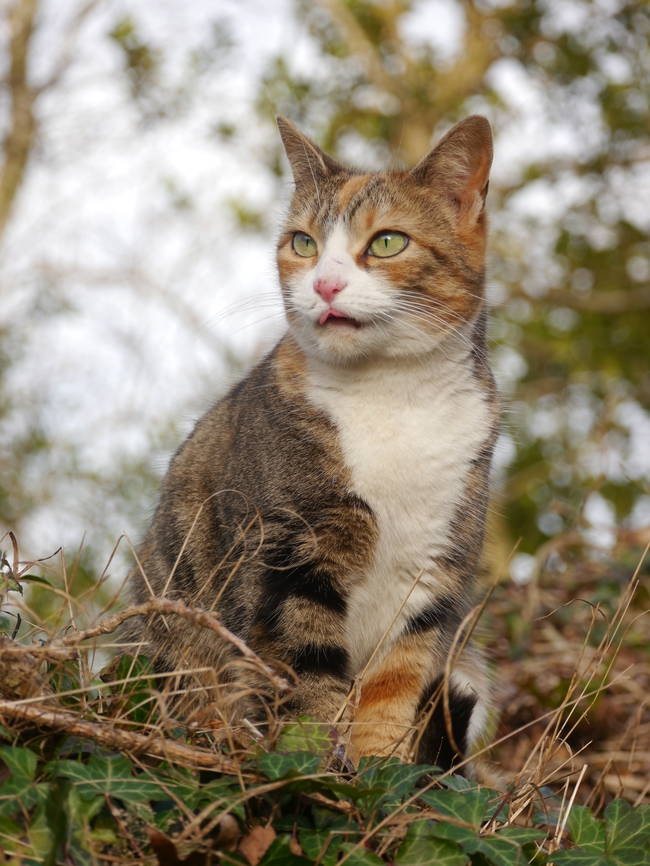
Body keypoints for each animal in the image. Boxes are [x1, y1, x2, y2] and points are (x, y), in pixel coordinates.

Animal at [121, 113, 496, 768]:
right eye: (303, 243)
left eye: (388, 242)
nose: (324, 285)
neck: (392, 395)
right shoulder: (288, 557)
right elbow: (307, 682)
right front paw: (316, 774)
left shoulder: (432, 580)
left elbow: (392, 697)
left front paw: (381, 781)